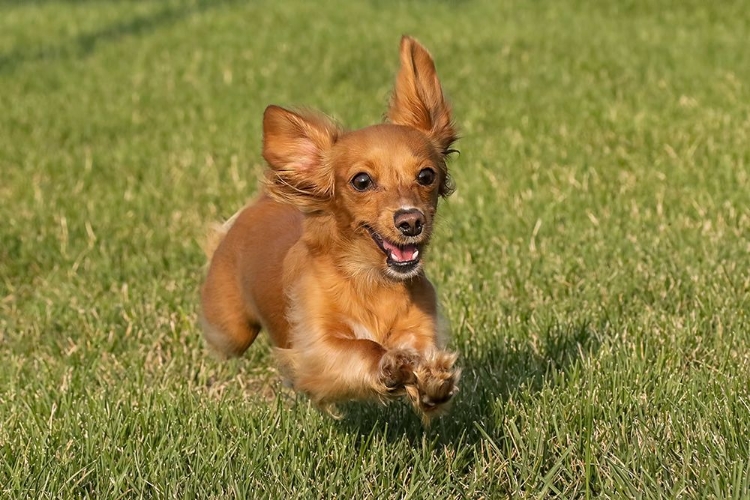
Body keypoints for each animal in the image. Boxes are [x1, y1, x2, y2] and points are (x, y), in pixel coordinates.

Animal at [206, 35, 462, 420]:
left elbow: (422, 356)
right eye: (361, 181)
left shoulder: (422, 328)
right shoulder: (317, 350)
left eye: (426, 175)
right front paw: (390, 365)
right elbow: (362, 348)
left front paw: (432, 380)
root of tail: (263, 202)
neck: (371, 282)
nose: (411, 220)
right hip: (230, 331)